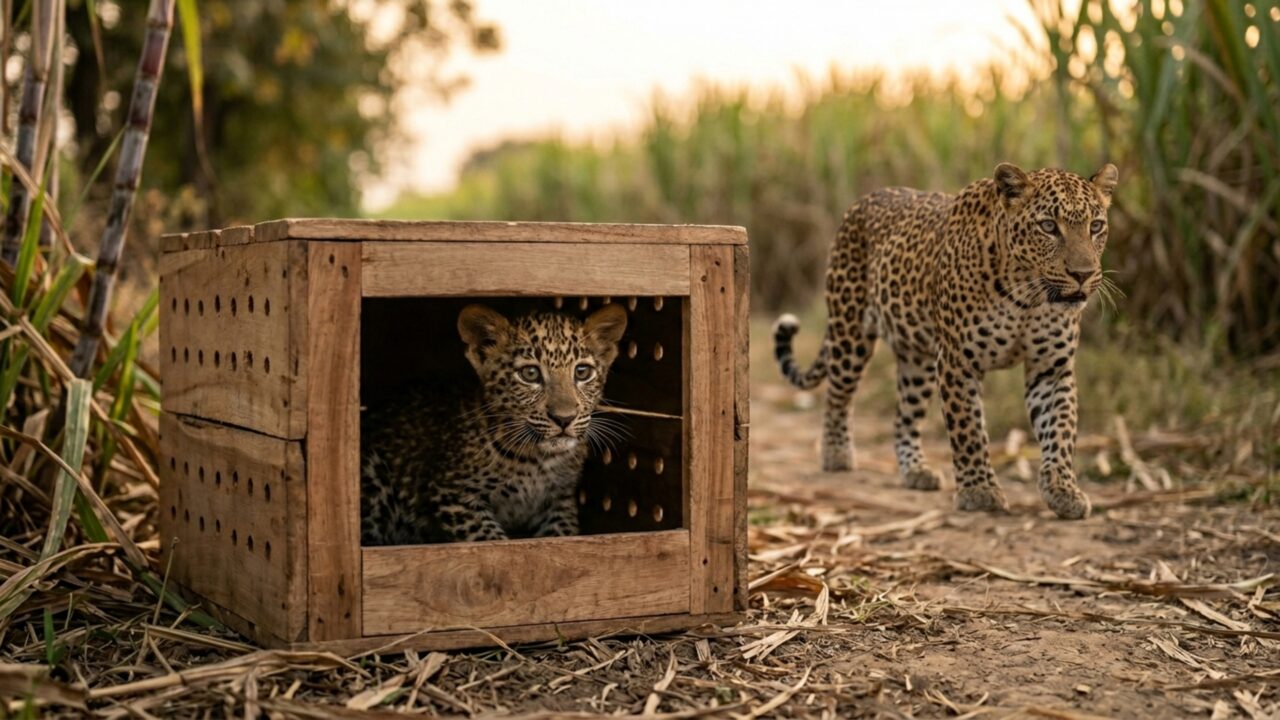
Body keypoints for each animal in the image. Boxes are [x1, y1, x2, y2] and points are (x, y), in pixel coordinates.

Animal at [360, 303, 628, 544]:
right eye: (530, 374)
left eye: (582, 372)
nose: (564, 418)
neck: (539, 461)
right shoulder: (454, 495)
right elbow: (489, 540)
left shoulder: (559, 501)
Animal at [773, 162, 1119, 520]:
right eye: (1049, 226)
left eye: (1095, 226)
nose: (1082, 274)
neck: (1028, 296)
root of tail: (862, 200)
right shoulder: (958, 362)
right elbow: (968, 430)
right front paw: (979, 492)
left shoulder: (1051, 368)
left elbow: (1060, 430)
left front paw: (1063, 490)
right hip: (849, 332)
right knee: (837, 395)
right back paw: (836, 454)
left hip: (918, 361)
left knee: (904, 417)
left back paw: (915, 470)